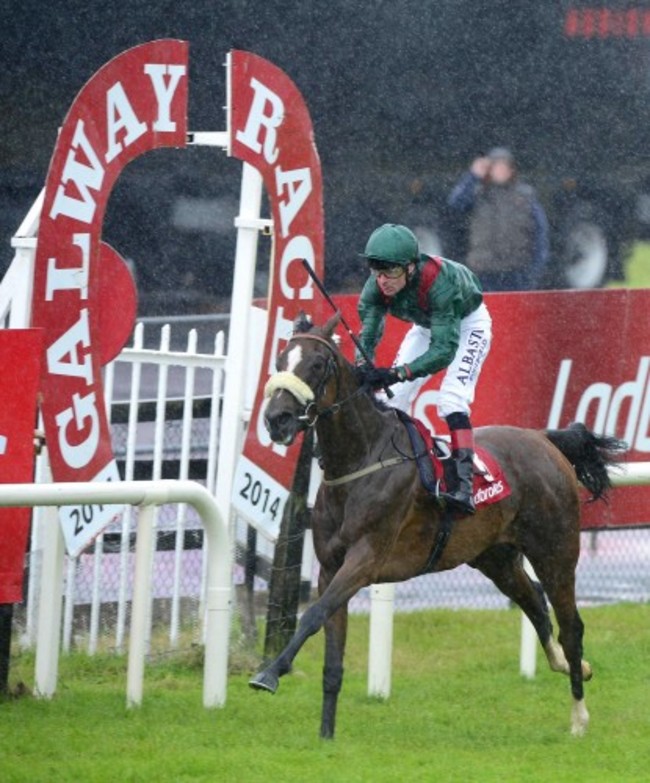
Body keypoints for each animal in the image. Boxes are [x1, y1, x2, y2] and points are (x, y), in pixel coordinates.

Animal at [248, 310, 624, 740]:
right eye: (280, 360)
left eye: (316, 364)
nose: (276, 419)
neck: (360, 458)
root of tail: (544, 439)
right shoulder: (330, 567)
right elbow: (331, 651)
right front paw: (326, 735)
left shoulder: (365, 560)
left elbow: (312, 616)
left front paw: (268, 674)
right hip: (495, 558)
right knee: (536, 604)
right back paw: (570, 666)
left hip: (555, 551)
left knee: (571, 626)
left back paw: (579, 716)